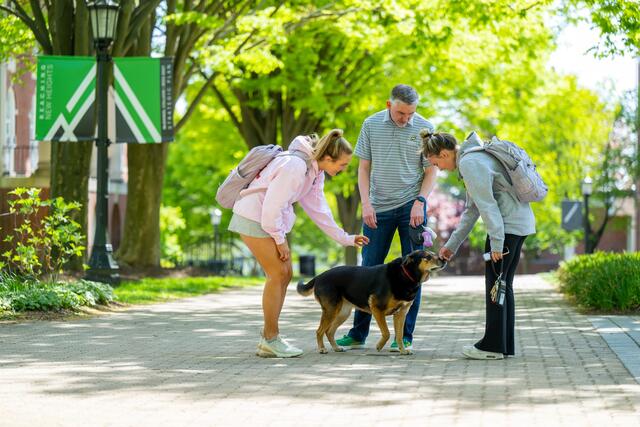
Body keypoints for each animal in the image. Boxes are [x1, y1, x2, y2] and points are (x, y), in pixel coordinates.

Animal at [296, 249, 442, 356]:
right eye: (427, 257)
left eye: (434, 253)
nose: (444, 259)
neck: (406, 275)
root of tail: (319, 276)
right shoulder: (377, 309)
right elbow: (387, 333)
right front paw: (379, 346)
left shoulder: (401, 314)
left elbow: (399, 335)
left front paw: (402, 350)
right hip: (331, 310)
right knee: (319, 331)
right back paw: (322, 349)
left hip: (343, 312)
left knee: (329, 331)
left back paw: (336, 348)